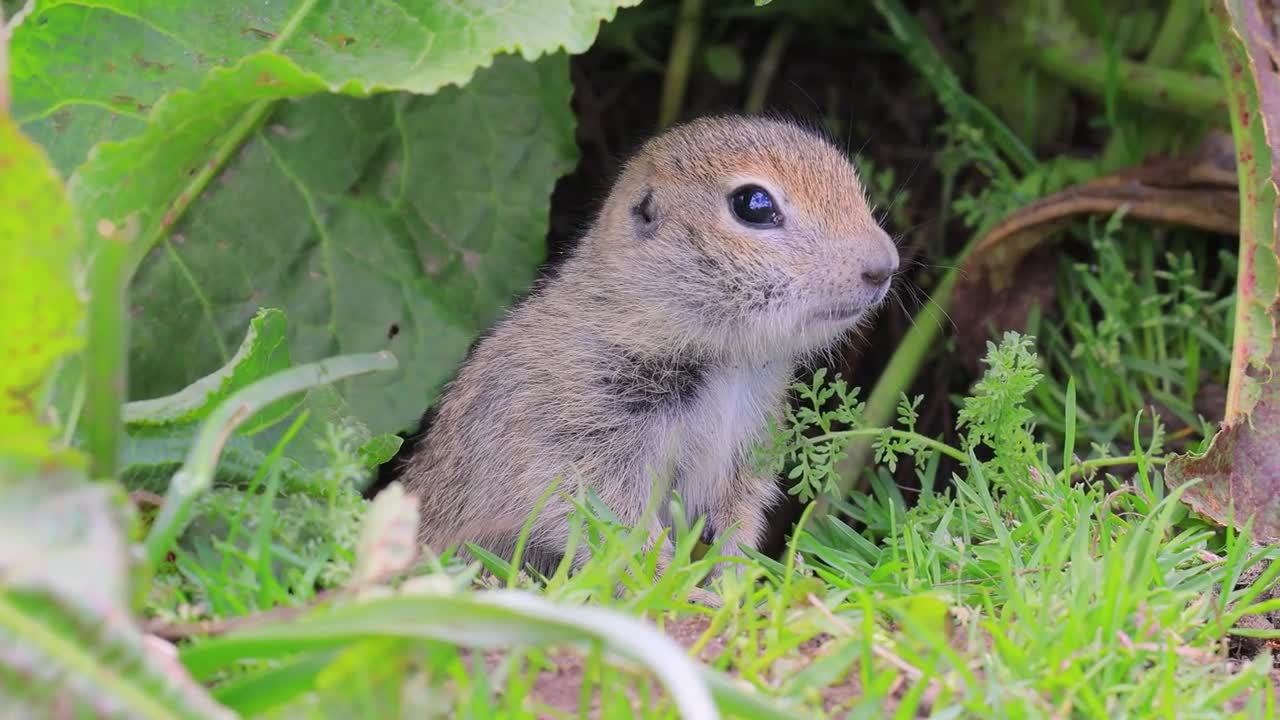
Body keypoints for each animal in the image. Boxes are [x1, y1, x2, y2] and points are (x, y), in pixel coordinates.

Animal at [389, 114, 901, 579]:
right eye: (753, 204)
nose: (884, 266)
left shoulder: (745, 458)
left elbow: (738, 519)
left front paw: (731, 582)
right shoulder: (583, 440)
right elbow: (616, 524)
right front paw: (679, 586)